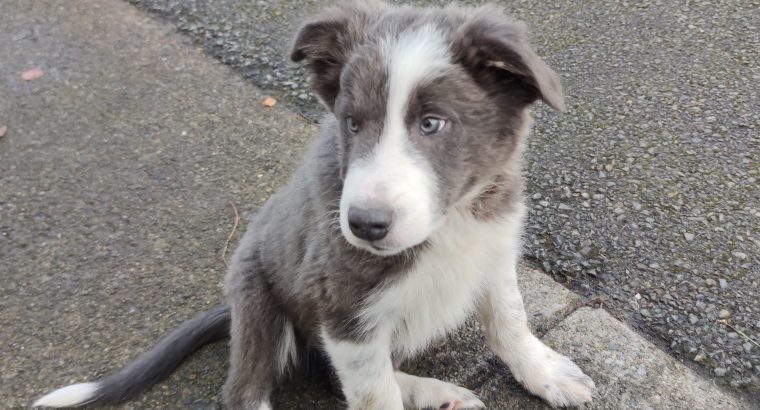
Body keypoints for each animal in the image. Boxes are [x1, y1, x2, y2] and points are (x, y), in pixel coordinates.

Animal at [34, 1, 592, 408]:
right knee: (248, 390)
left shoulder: (493, 249)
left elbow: (510, 320)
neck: (452, 220)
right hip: (258, 299)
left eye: (432, 123)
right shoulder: (343, 306)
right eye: (352, 123)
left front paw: (544, 373)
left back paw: (435, 393)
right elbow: (373, 394)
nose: (364, 226)